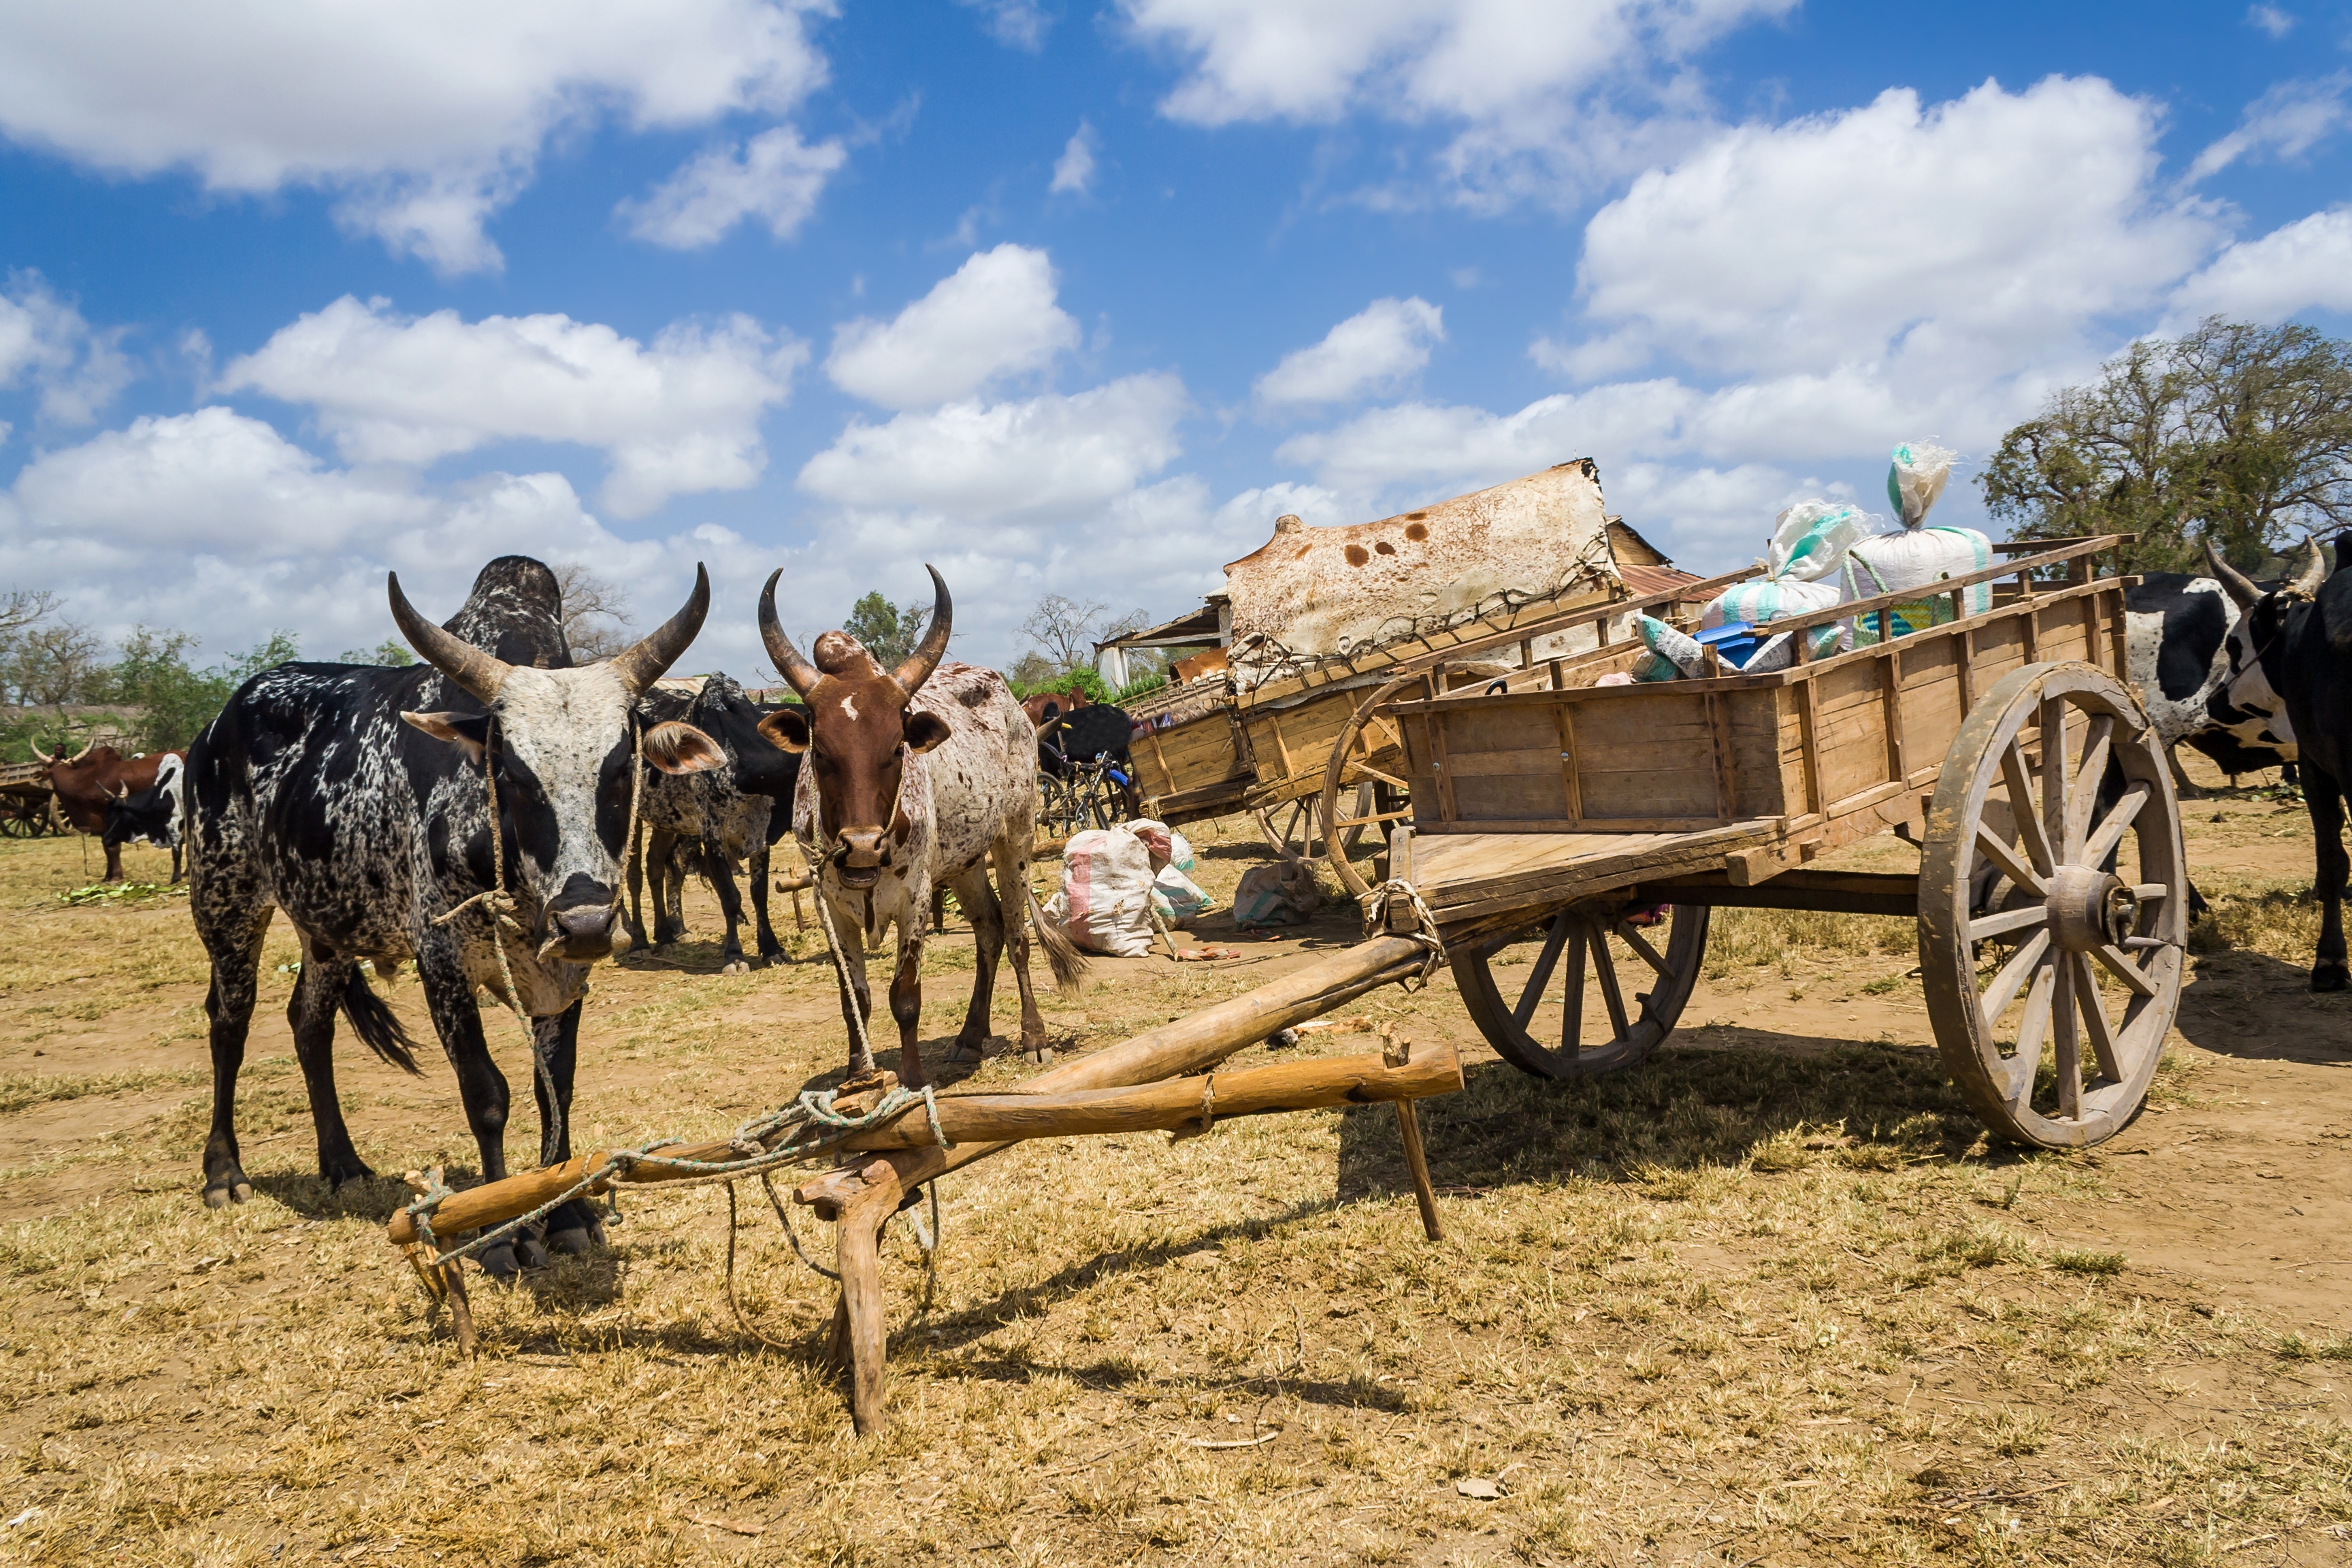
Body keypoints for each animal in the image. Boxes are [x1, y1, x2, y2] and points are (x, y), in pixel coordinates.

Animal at [625, 672, 800, 968]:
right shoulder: (712, 835)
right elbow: (730, 895)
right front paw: (734, 955)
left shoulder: (761, 835)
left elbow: (759, 893)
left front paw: (771, 949)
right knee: (634, 874)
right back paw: (640, 942)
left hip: (667, 818)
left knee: (656, 865)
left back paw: (666, 935)